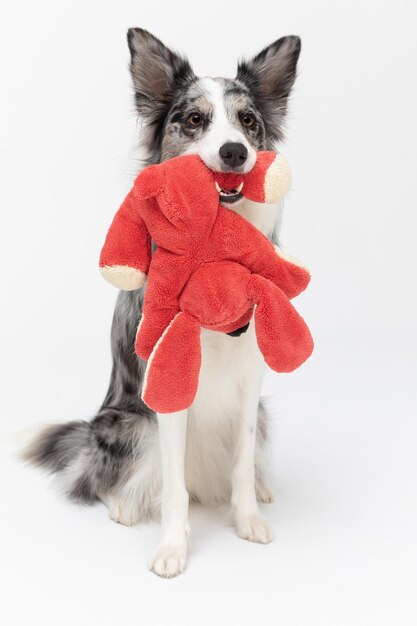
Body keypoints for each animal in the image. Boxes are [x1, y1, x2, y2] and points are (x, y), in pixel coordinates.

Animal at [25, 28, 300, 576]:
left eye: (248, 121)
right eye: (194, 120)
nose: (235, 152)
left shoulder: (250, 381)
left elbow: (240, 464)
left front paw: (248, 519)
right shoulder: (168, 384)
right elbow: (173, 489)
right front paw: (172, 548)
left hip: (261, 414)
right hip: (126, 424)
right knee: (102, 478)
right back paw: (123, 507)